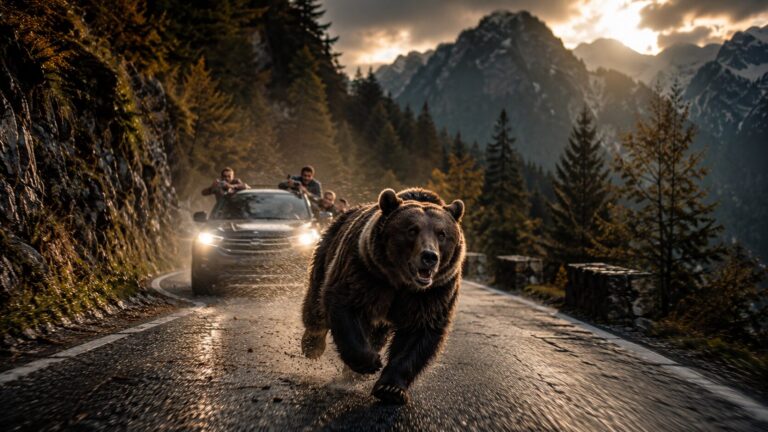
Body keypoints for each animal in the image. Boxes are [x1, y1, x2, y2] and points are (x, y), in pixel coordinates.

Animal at [300, 187, 465, 405]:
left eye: (442, 234)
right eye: (412, 230)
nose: (429, 257)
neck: (401, 282)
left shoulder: (434, 292)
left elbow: (420, 333)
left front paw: (391, 389)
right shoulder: (365, 271)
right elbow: (346, 304)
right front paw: (369, 362)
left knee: (376, 334)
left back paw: (352, 374)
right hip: (328, 250)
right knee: (316, 307)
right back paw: (312, 346)